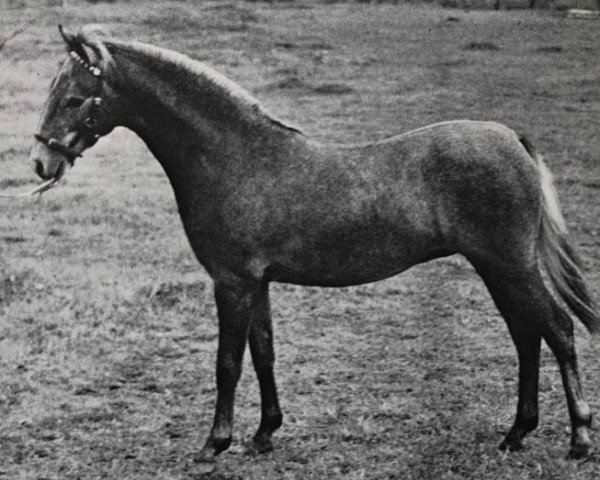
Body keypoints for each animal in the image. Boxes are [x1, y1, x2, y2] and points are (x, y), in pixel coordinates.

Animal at [30, 24, 596, 464]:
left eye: (76, 98)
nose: (41, 163)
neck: (235, 156)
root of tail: (512, 138)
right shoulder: (256, 283)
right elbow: (263, 352)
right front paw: (264, 434)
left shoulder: (232, 283)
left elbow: (228, 363)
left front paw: (215, 444)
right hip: (496, 268)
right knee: (526, 336)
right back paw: (516, 434)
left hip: (509, 264)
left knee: (558, 330)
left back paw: (579, 440)